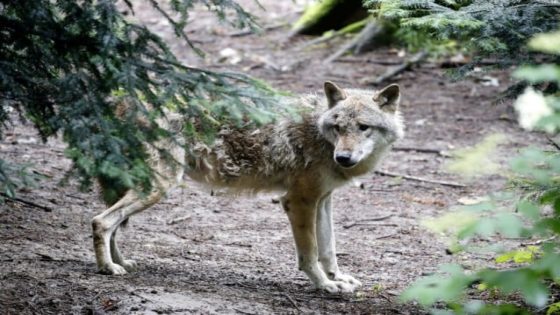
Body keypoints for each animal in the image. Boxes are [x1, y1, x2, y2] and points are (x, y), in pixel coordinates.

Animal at [93, 81, 406, 294]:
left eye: (363, 127)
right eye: (338, 127)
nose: (343, 157)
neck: (319, 134)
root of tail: (119, 102)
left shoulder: (324, 199)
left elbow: (329, 248)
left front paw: (337, 278)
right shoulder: (299, 200)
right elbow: (310, 253)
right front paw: (323, 285)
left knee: (112, 224)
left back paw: (121, 262)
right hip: (159, 186)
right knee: (101, 221)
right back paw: (107, 268)